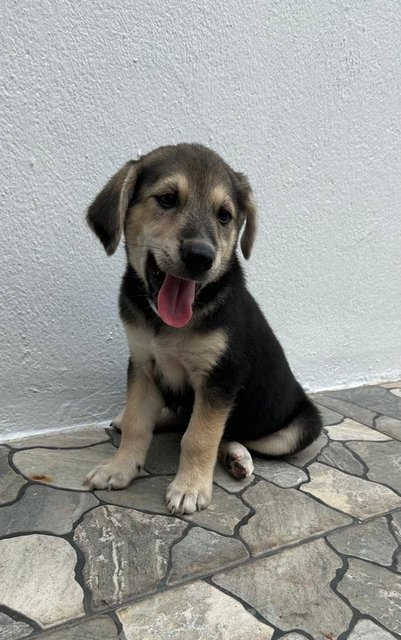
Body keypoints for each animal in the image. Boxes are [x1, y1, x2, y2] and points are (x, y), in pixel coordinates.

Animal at [85, 144, 322, 516]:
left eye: (224, 216)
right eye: (167, 199)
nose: (200, 257)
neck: (167, 324)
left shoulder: (220, 377)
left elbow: (199, 436)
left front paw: (190, 487)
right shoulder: (143, 364)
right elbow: (138, 423)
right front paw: (119, 468)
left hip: (299, 427)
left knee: (228, 434)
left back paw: (238, 456)